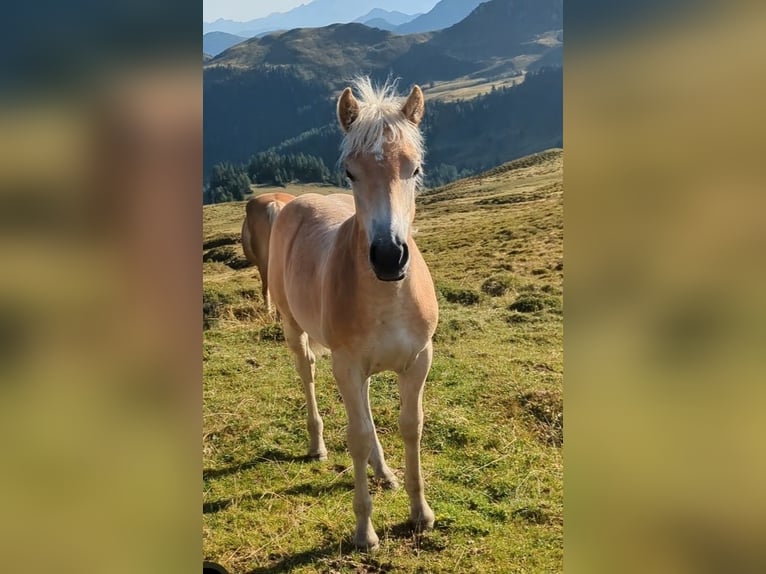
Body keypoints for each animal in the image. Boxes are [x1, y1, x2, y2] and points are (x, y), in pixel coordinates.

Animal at [268, 77, 438, 550]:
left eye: (414, 169)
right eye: (350, 172)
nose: (389, 256)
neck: (389, 297)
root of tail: (294, 202)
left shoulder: (418, 360)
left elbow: (410, 425)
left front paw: (420, 512)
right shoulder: (346, 363)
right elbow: (357, 437)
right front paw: (365, 531)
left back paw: (385, 472)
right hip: (296, 331)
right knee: (307, 375)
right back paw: (318, 444)